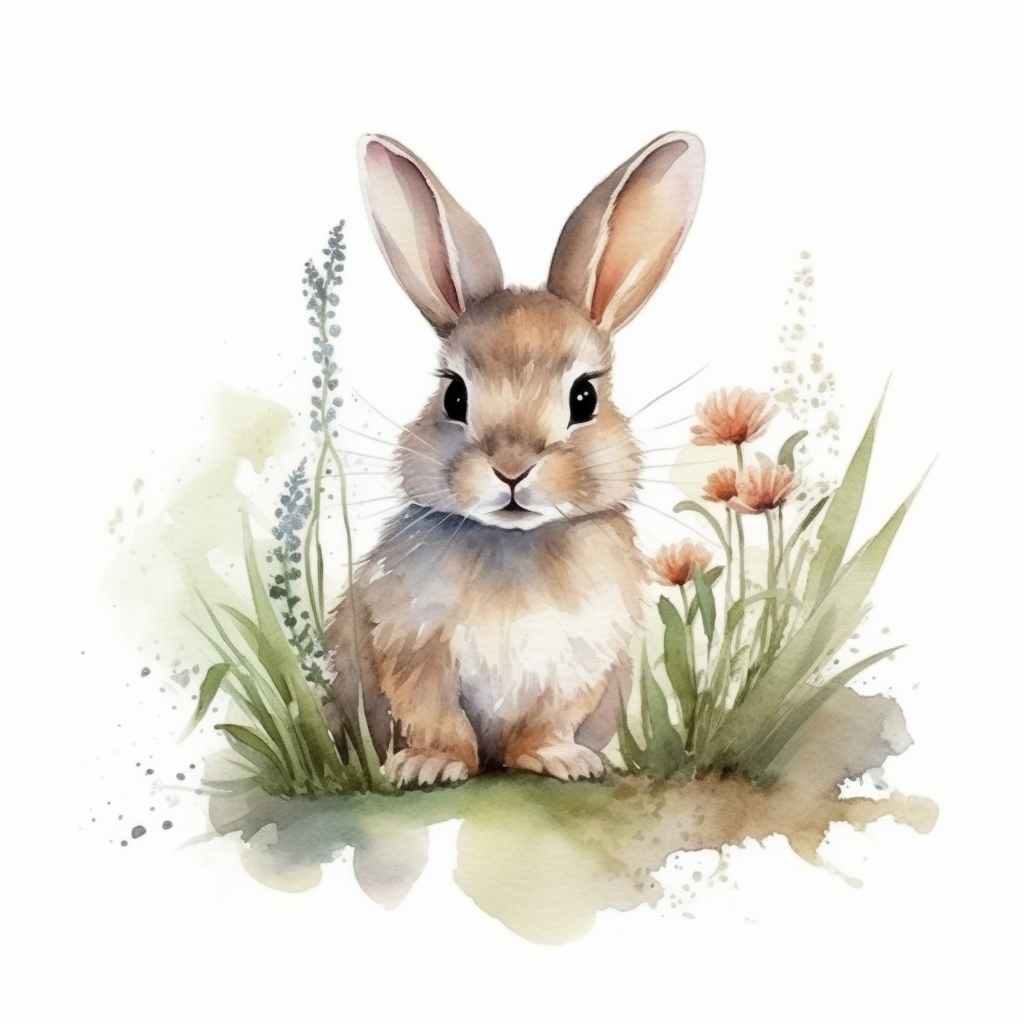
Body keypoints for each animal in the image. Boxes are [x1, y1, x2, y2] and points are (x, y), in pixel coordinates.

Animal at [325, 131, 704, 788]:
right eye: (454, 395)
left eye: (584, 398)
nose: (510, 469)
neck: (515, 545)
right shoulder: (412, 650)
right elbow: (434, 717)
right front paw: (429, 765)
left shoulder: (579, 666)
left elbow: (546, 722)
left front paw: (561, 761)